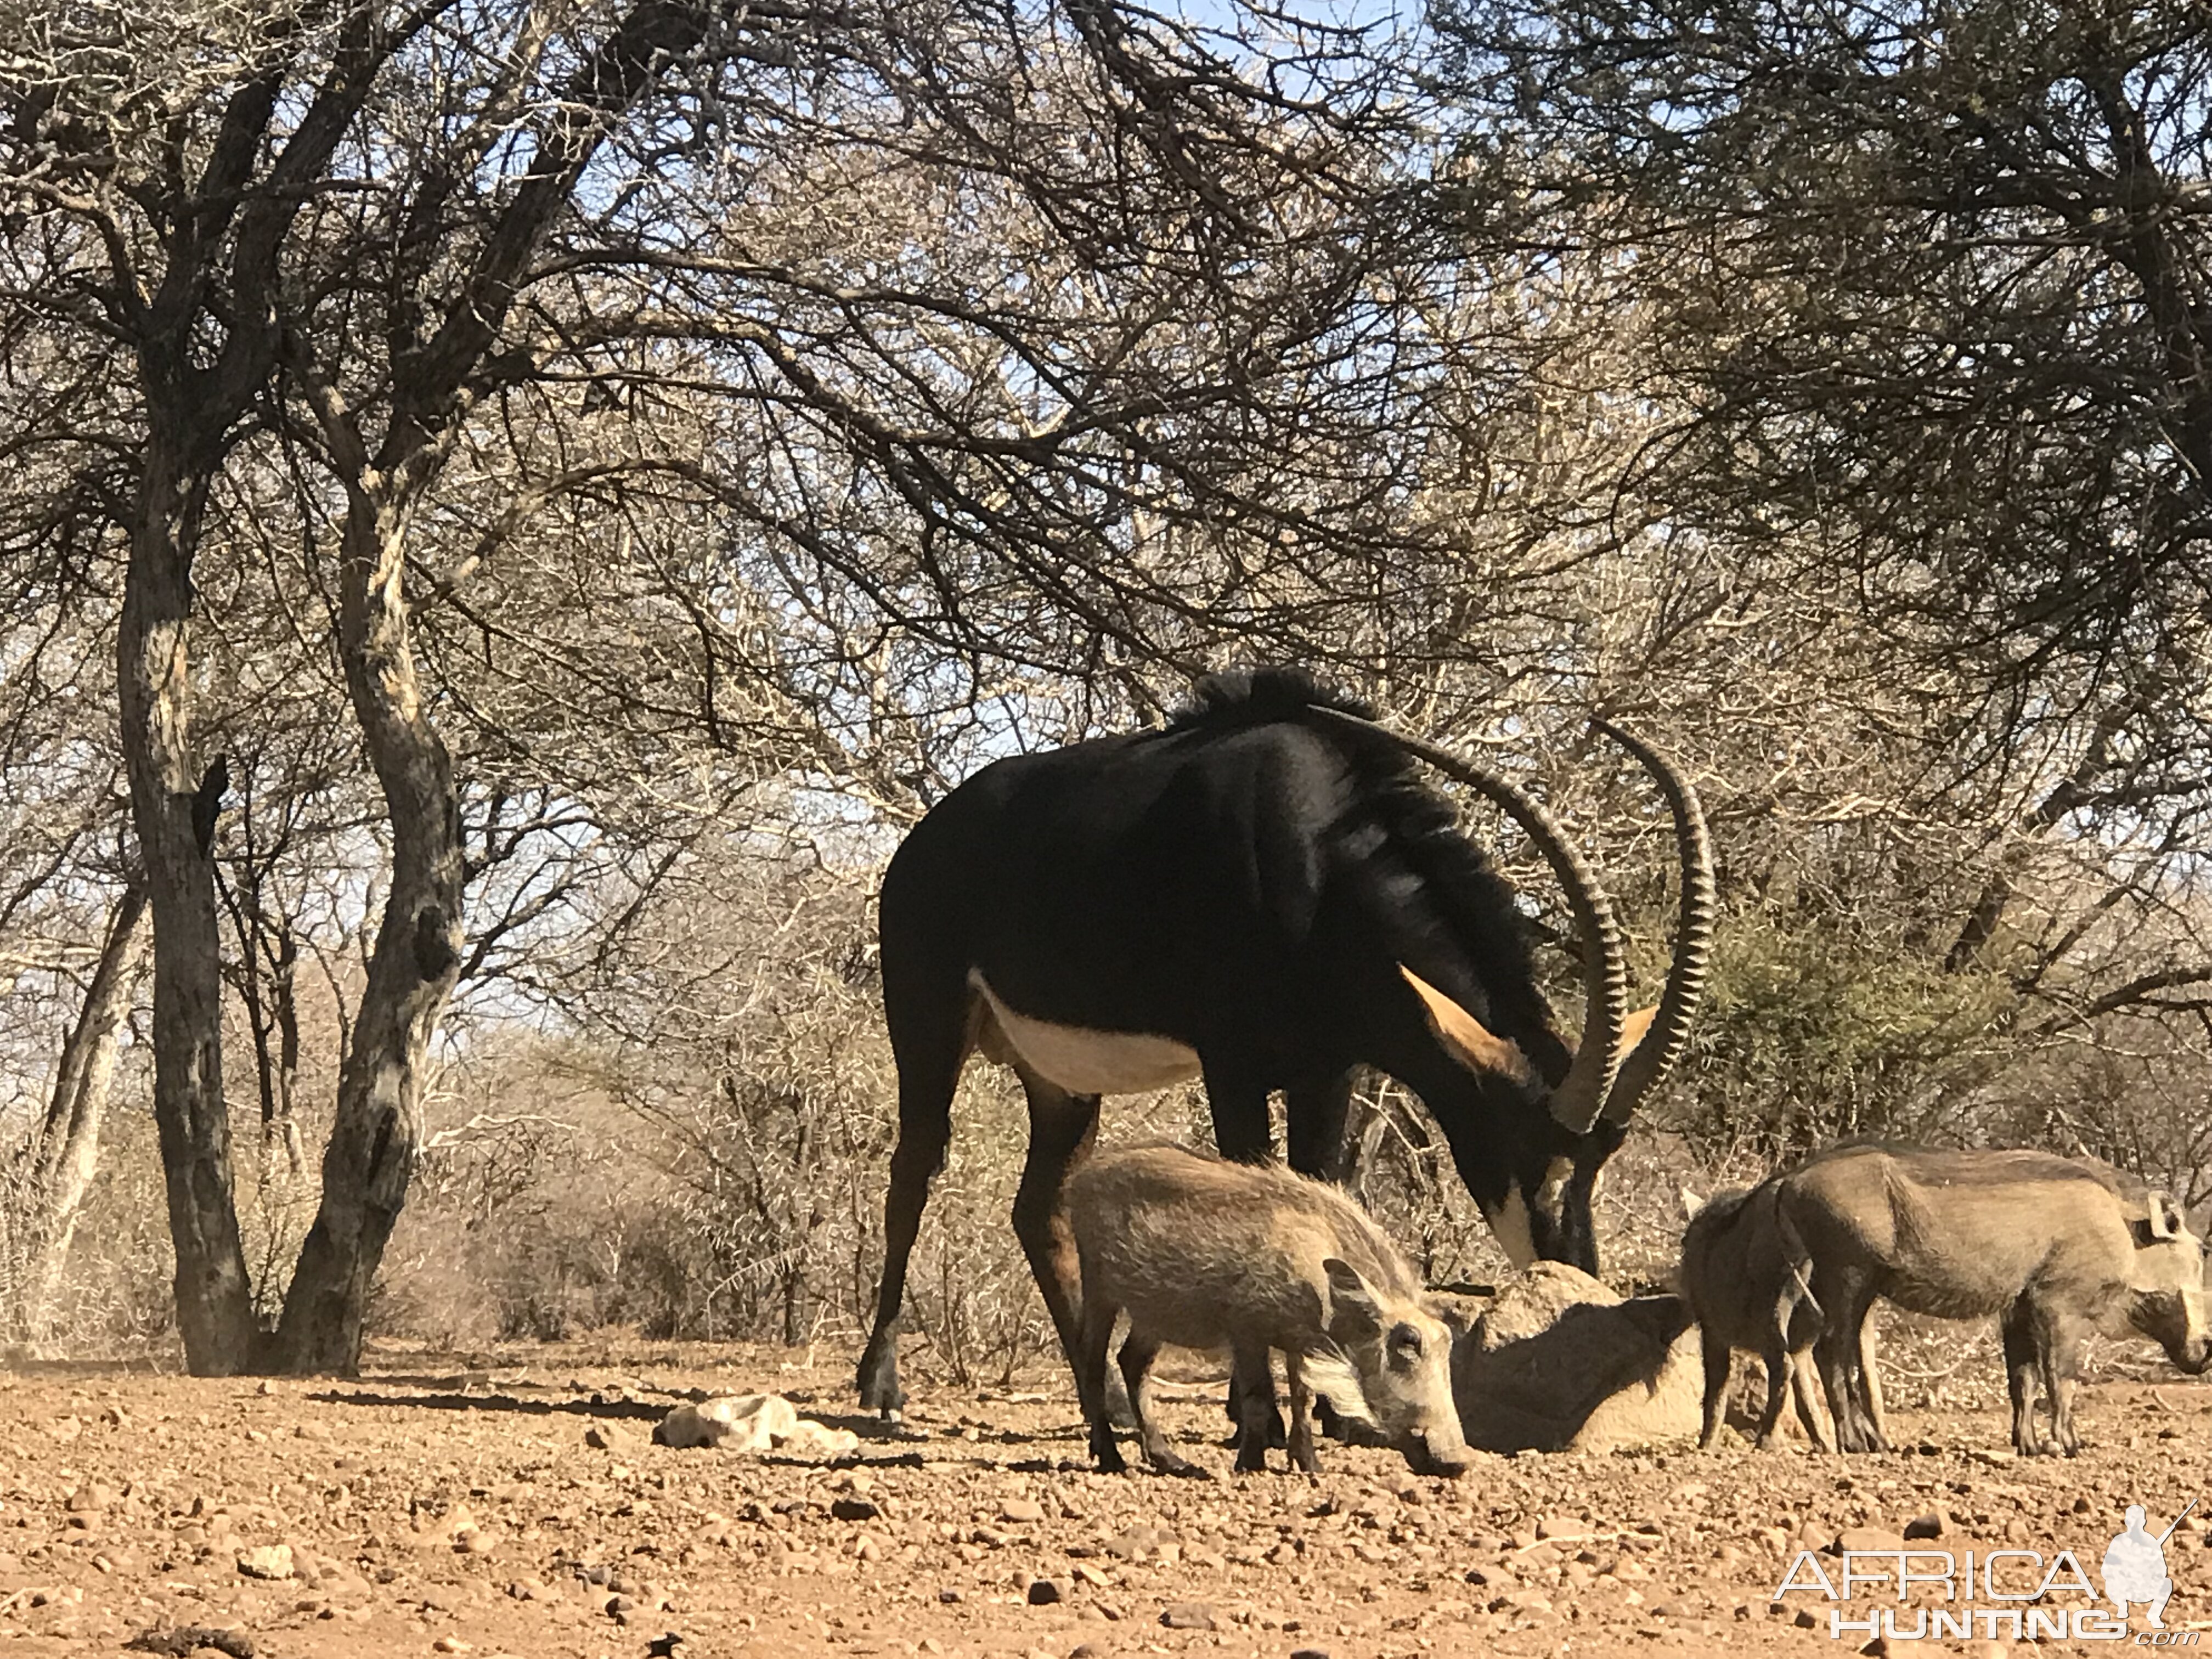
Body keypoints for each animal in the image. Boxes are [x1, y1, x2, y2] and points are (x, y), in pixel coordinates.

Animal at [854, 668, 1716, 1424]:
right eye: (1535, 1151)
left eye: (1601, 1162)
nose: (1579, 1278)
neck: (1317, 863)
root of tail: (924, 841)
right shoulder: (1231, 1066)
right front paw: (1252, 1403)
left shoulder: (1327, 1070)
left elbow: (1320, 1189)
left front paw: (1328, 1404)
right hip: (928, 1022)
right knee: (911, 1175)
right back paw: (881, 1387)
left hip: (1061, 1080)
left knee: (1039, 1211)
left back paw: (1107, 1406)